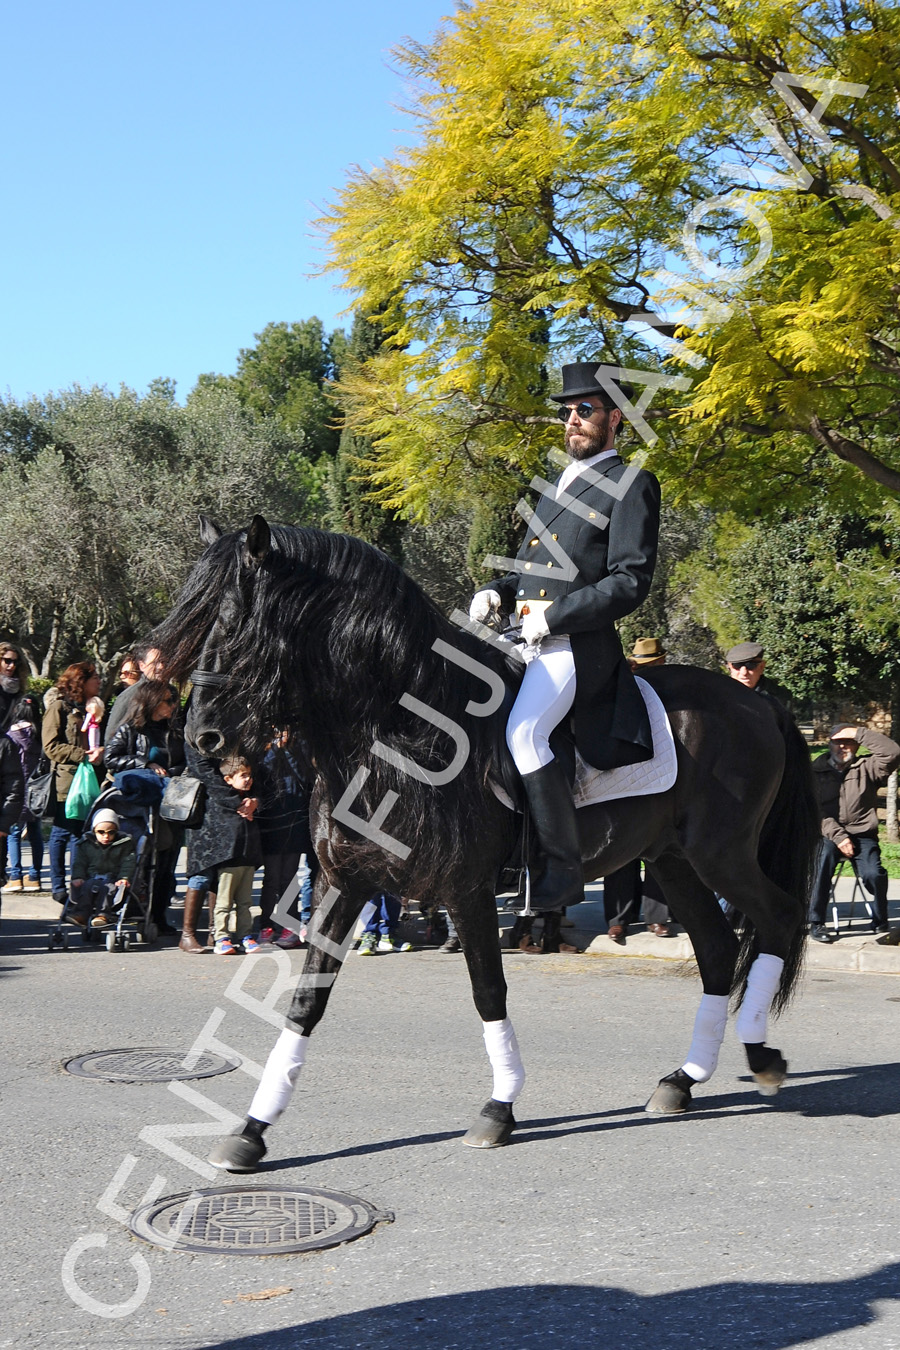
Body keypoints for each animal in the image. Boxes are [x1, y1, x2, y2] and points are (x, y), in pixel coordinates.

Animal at [156, 515, 825, 1171]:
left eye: (236, 624)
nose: (203, 738)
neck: (400, 739)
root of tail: (758, 702)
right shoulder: (348, 885)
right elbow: (305, 1002)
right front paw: (252, 1129)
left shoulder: (468, 888)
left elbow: (488, 991)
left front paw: (499, 1109)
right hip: (673, 859)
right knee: (716, 949)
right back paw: (683, 1080)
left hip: (721, 853)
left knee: (780, 916)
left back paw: (762, 1057)